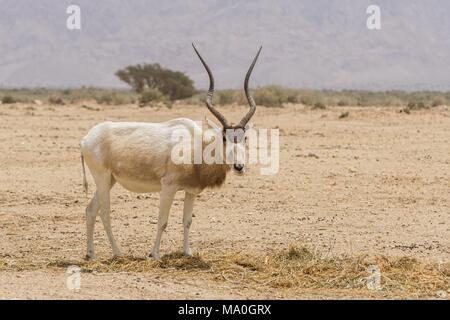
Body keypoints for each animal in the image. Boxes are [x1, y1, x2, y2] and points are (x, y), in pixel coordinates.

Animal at [80, 44, 260, 260]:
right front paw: (155, 254)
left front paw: (187, 252)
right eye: (224, 138)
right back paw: (118, 253)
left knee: (91, 210)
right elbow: (162, 221)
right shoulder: (168, 187)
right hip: (102, 178)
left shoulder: (191, 191)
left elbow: (187, 220)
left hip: (110, 181)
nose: (239, 167)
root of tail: (86, 139)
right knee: (105, 213)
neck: (197, 146)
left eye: (245, 138)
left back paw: (91, 254)